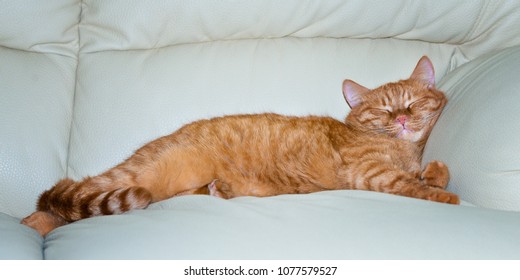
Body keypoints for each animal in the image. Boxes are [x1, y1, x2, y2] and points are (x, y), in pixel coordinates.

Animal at [21, 57, 460, 236]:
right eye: (384, 110)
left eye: (411, 103)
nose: (400, 119)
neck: (402, 151)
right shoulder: (368, 171)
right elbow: (410, 185)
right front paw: (445, 197)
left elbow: (433, 173)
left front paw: (436, 172)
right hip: (139, 176)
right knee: (57, 202)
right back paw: (28, 228)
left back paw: (223, 189)